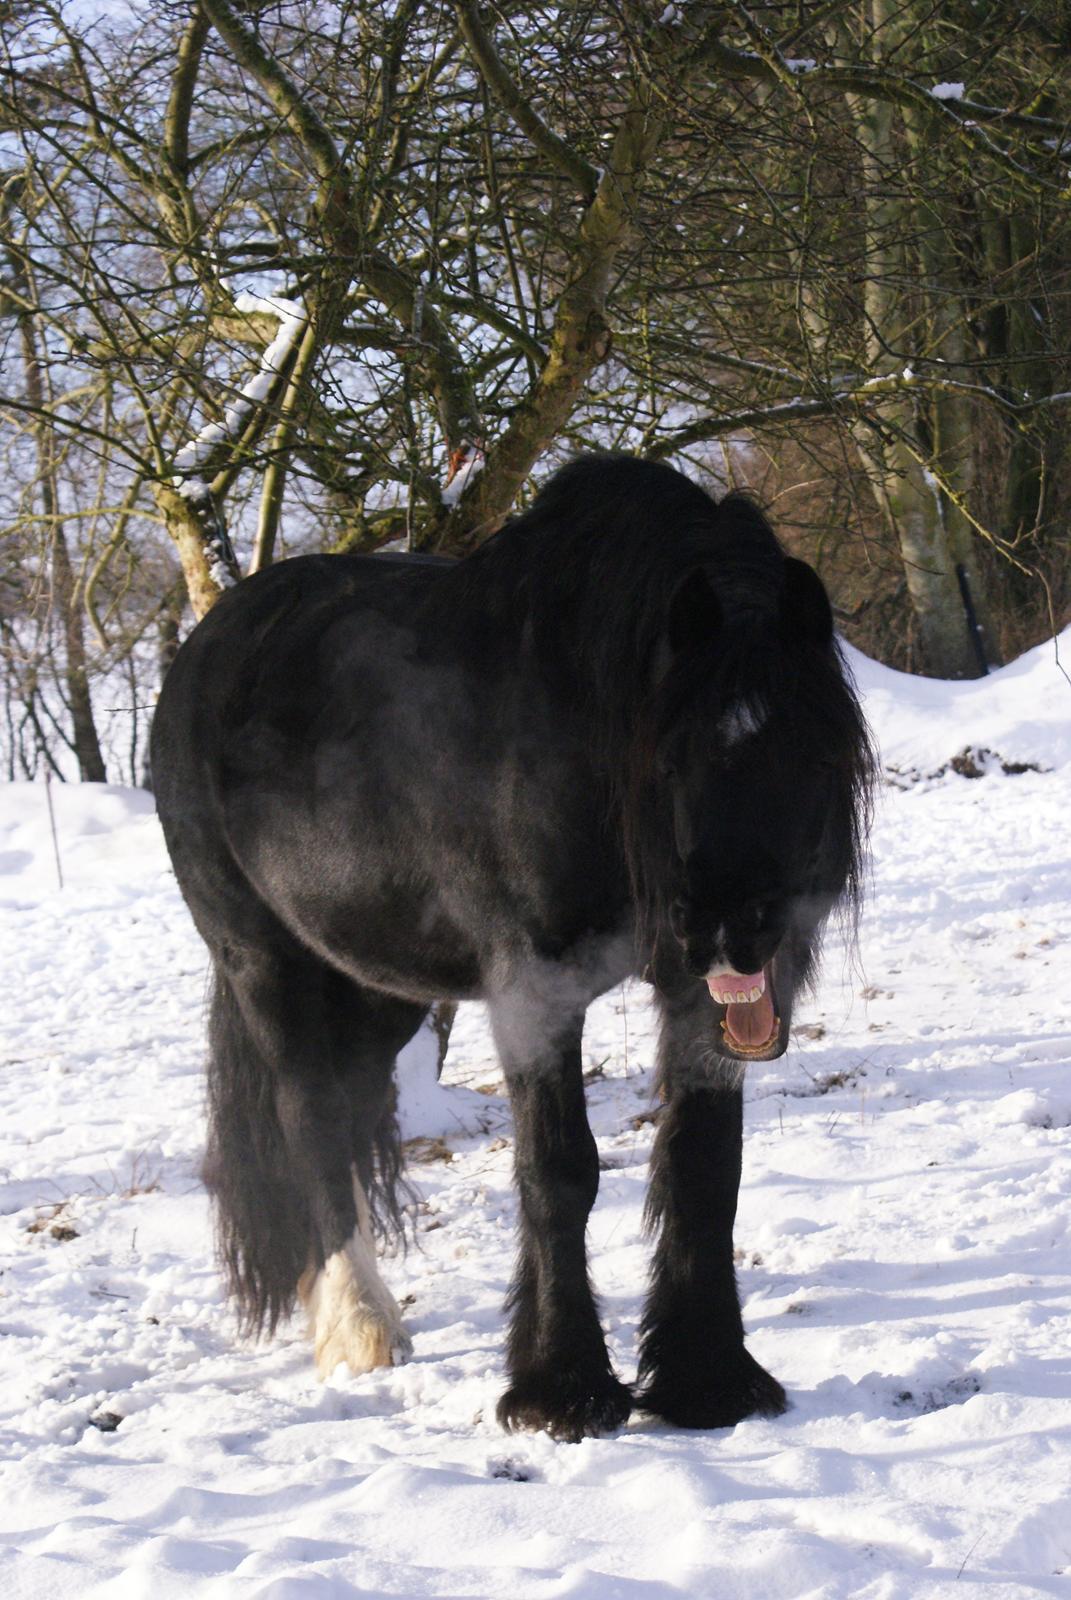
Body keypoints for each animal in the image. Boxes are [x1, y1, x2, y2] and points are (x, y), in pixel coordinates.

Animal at [150, 457, 870, 1446]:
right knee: (310, 1126)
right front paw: (560, 1388)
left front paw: (706, 1379)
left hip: (376, 986)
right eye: (672, 761)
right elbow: (559, 1172)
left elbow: (702, 1167)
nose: (734, 930)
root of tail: (204, 650)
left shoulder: (694, 1000)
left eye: (813, 753)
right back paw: (362, 1329)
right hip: (266, 965)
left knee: (345, 1117)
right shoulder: (535, 991)